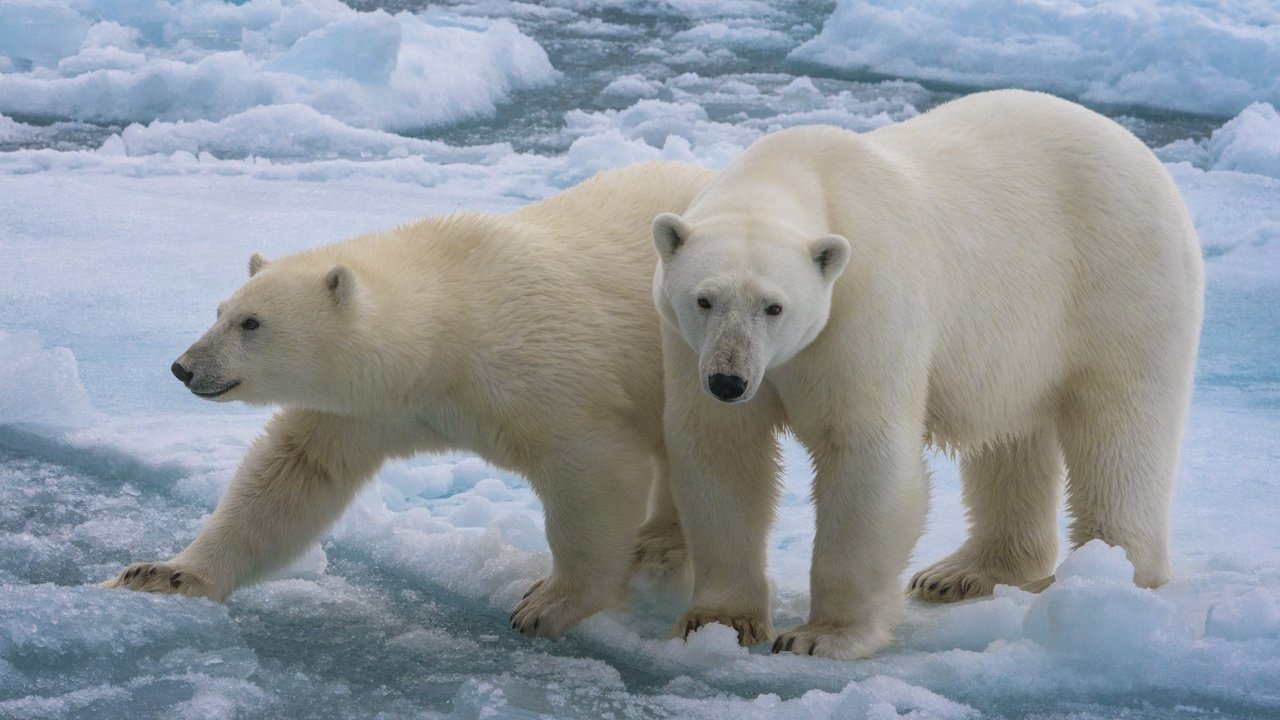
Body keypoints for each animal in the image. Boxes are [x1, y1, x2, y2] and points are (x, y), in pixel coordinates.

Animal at [103, 161, 716, 632]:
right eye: (220, 311)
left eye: (251, 323)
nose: (183, 367)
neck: (450, 327)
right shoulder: (368, 408)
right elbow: (292, 475)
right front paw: (161, 574)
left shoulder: (546, 374)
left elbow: (590, 473)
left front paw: (548, 604)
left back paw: (663, 545)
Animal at [655, 92, 1203, 661]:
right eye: (704, 299)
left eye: (774, 306)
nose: (729, 382)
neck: (798, 172)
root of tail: (1139, 152)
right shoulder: (687, 346)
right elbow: (722, 453)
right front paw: (717, 622)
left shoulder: (865, 306)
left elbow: (862, 452)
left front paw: (820, 635)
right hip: (1020, 342)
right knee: (1014, 438)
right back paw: (962, 573)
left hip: (1119, 284)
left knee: (1120, 432)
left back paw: (1104, 578)